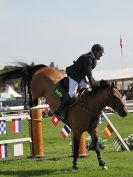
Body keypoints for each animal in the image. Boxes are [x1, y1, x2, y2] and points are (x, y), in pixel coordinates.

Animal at [0, 62, 128, 169]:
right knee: (28, 84)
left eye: (121, 95)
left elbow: (96, 146)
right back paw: (27, 103)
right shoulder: (77, 130)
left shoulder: (92, 130)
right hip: (36, 90)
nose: (125, 112)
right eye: (115, 97)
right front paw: (75, 164)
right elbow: (76, 147)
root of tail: (43, 68)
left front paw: (102, 163)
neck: (89, 106)